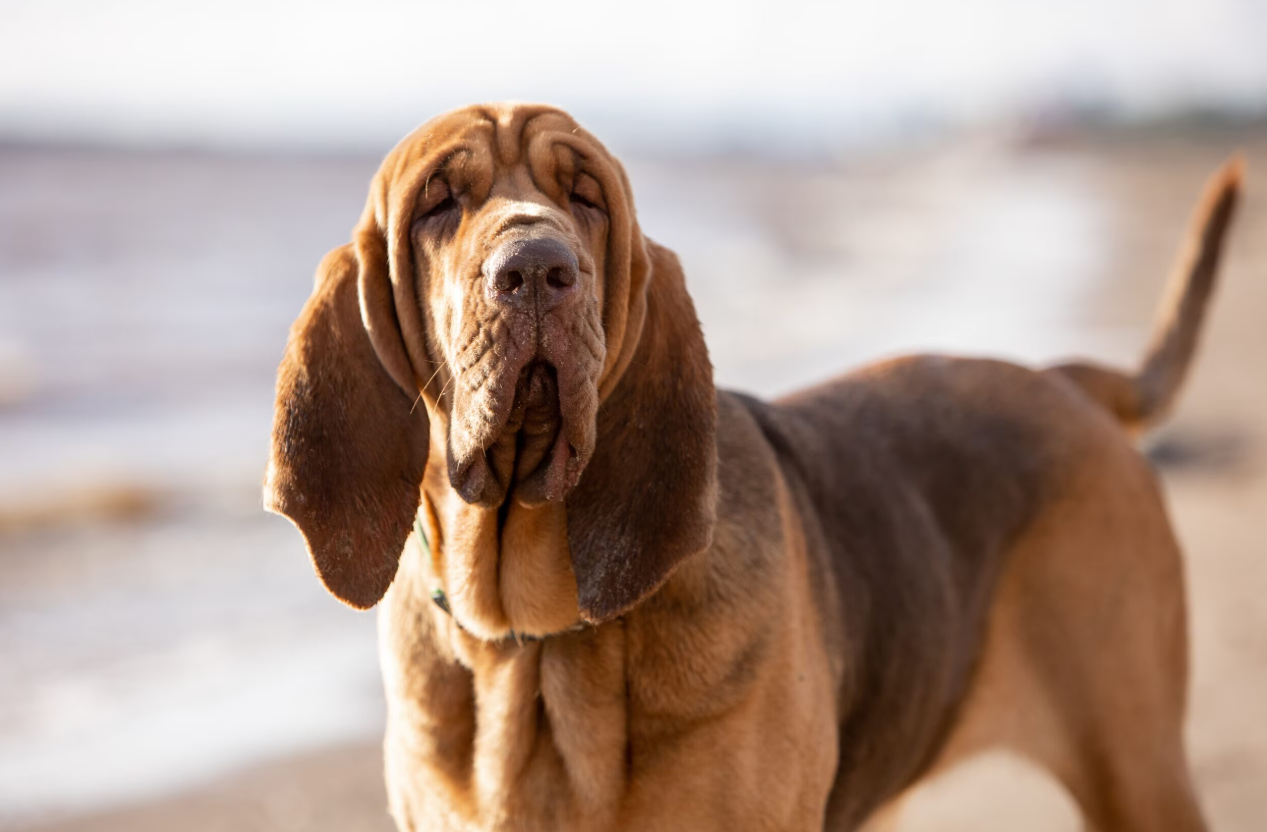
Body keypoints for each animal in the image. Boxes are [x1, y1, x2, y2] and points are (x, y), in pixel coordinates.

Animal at [262, 103, 1241, 830]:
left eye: (586, 197)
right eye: (438, 201)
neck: (534, 638)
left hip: (1136, 768)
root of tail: (1064, 378)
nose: (538, 270)